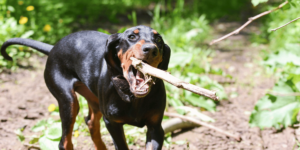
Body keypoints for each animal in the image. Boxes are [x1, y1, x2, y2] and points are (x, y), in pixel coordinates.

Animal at [1, 25, 171, 149]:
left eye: (158, 39)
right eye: (132, 37)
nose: (151, 49)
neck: (133, 96)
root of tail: (53, 47)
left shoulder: (155, 127)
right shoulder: (112, 123)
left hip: (94, 99)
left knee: (90, 122)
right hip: (68, 101)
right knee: (65, 142)